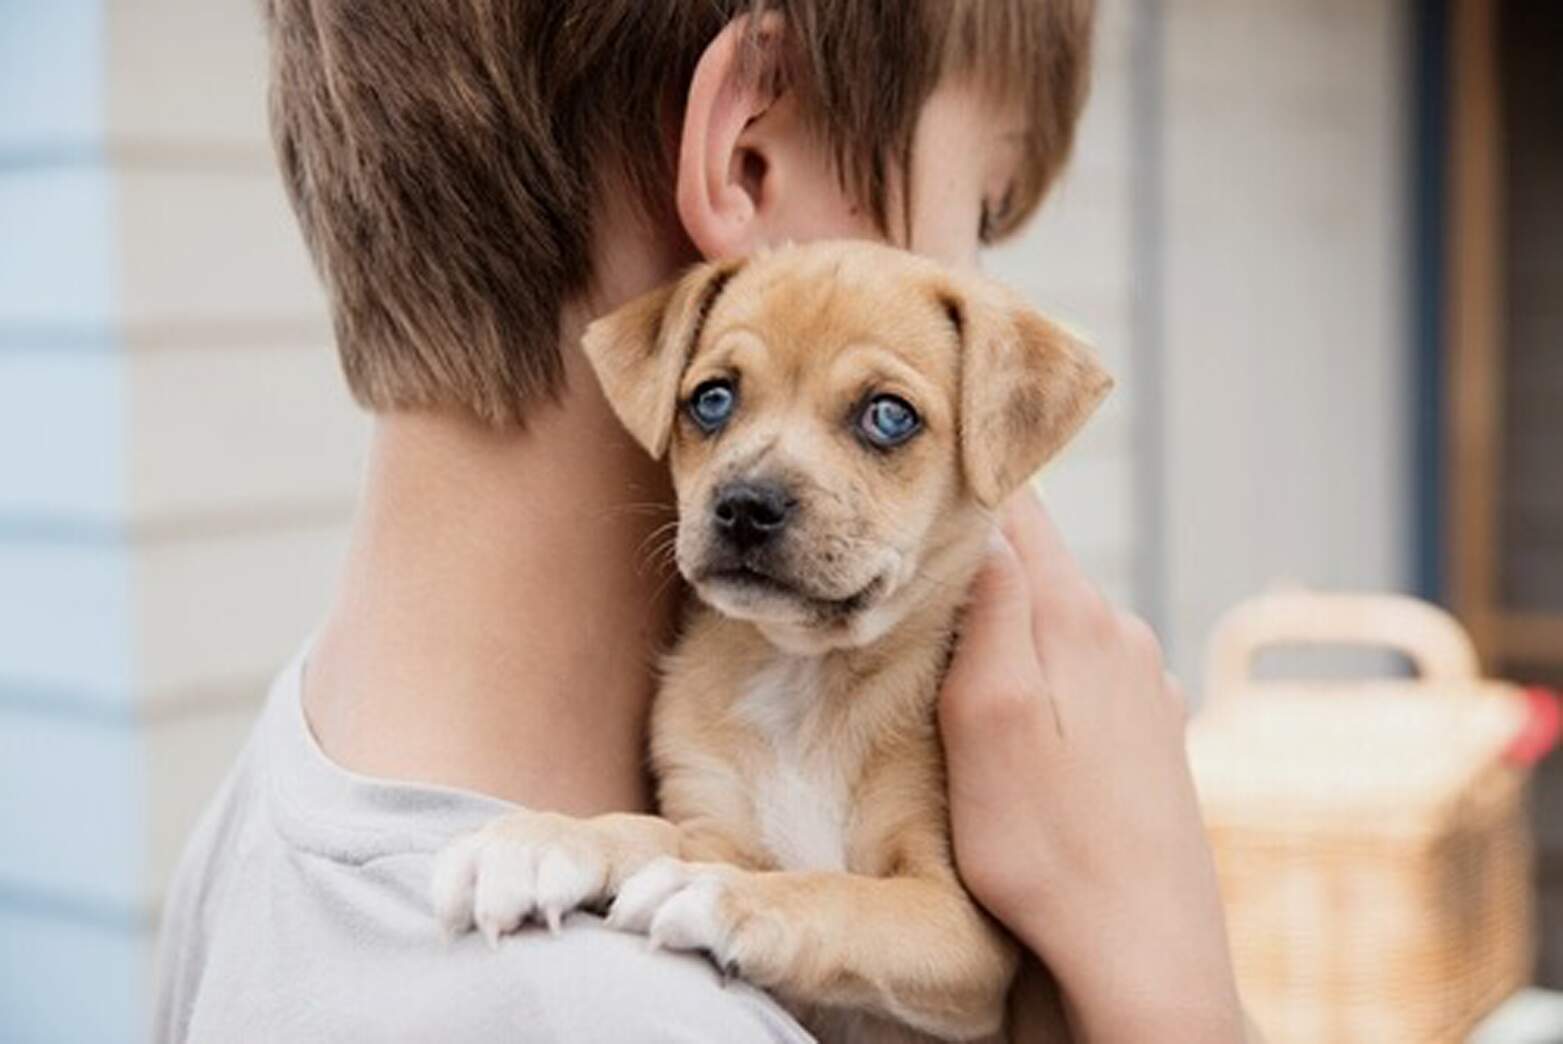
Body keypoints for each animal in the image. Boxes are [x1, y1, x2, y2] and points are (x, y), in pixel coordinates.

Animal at [431, 240, 1112, 1037]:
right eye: (711, 400)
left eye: (889, 416)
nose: (745, 505)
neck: (805, 676)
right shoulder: (714, 820)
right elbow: (650, 832)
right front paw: (548, 840)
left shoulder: (964, 928)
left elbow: (843, 895)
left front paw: (723, 895)